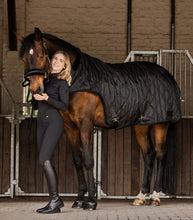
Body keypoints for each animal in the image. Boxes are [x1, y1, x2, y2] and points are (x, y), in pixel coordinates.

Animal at [17, 27, 181, 210]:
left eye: (40, 55)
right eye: (23, 58)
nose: (36, 89)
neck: (76, 78)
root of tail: (166, 75)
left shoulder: (85, 124)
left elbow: (89, 160)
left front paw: (90, 201)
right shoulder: (70, 127)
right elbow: (77, 161)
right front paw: (79, 199)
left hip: (161, 125)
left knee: (160, 154)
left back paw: (156, 197)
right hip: (142, 125)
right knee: (149, 155)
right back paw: (141, 196)